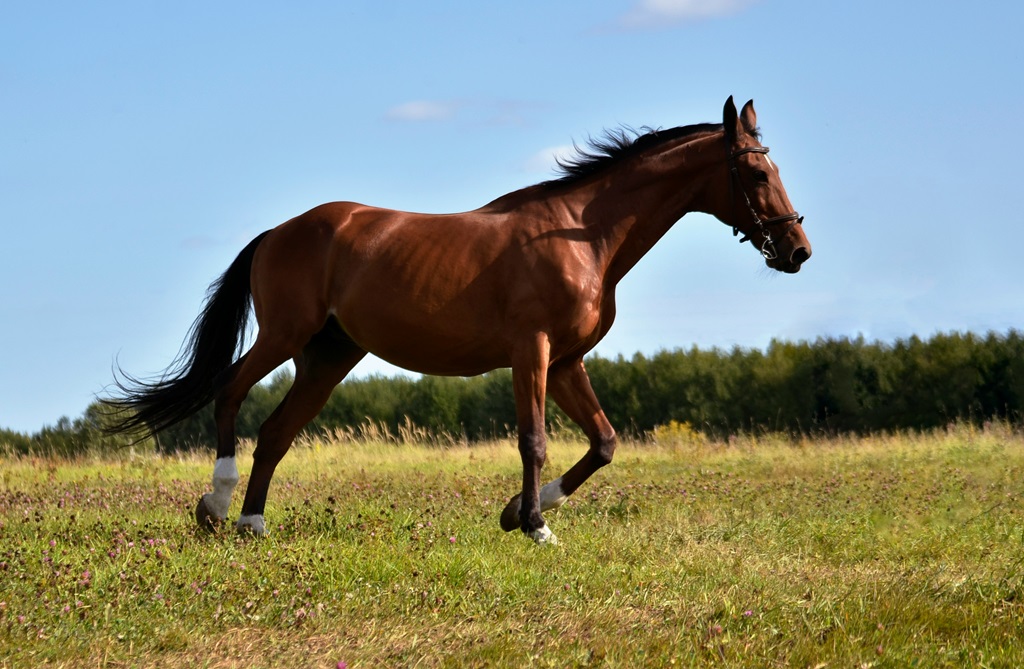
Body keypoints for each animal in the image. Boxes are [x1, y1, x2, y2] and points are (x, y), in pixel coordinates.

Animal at [103, 96, 806, 540]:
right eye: (754, 171)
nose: (797, 250)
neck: (582, 236)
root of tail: (280, 230)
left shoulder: (568, 360)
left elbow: (604, 443)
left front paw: (518, 512)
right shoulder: (533, 353)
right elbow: (534, 440)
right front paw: (534, 526)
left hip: (328, 357)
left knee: (275, 433)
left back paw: (252, 523)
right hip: (285, 334)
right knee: (230, 392)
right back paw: (215, 505)